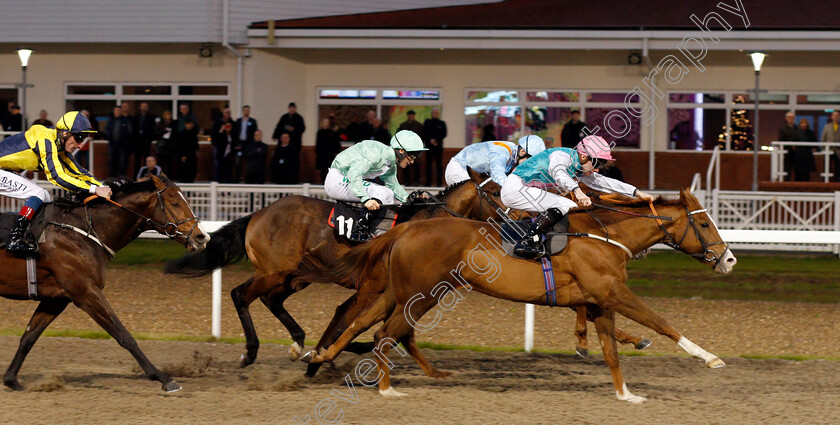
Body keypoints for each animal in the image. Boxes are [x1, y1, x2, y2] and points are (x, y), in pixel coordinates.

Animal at [1, 174, 210, 392]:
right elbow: (124, 335)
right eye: (174, 202)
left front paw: (11, 379)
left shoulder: (57, 299)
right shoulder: (86, 292)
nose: (202, 237)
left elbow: (29, 337)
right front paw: (164, 379)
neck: (85, 230)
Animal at [294, 190, 736, 402]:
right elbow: (660, 322)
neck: (604, 236)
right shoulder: (612, 292)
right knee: (386, 333)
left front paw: (626, 395)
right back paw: (386, 388)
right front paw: (710, 357)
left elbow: (611, 349)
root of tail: (406, 228)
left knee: (363, 323)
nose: (729, 258)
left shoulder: (598, 301)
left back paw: (320, 356)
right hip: (418, 294)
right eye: (704, 224)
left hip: (402, 291)